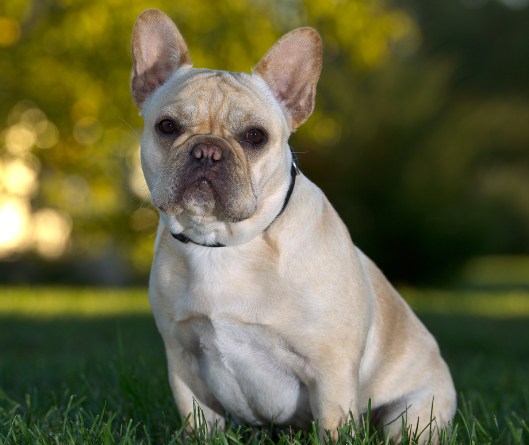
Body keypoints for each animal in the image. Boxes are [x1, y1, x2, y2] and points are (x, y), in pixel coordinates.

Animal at [131, 8, 454, 442]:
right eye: (167, 127)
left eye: (255, 136)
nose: (207, 152)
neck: (225, 244)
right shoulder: (182, 361)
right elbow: (198, 421)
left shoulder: (331, 370)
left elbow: (333, 425)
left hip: (412, 414)